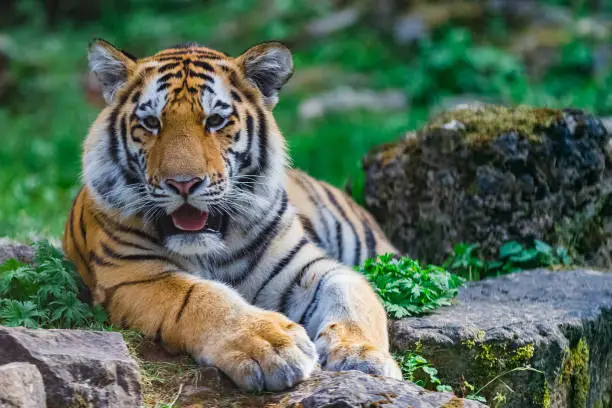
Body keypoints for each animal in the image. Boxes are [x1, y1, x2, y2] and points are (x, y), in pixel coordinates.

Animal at [63, 39, 402, 392]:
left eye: (215, 120)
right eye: (151, 123)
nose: (183, 183)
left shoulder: (310, 267)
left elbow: (351, 296)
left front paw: (361, 355)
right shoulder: (133, 274)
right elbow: (203, 297)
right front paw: (271, 346)